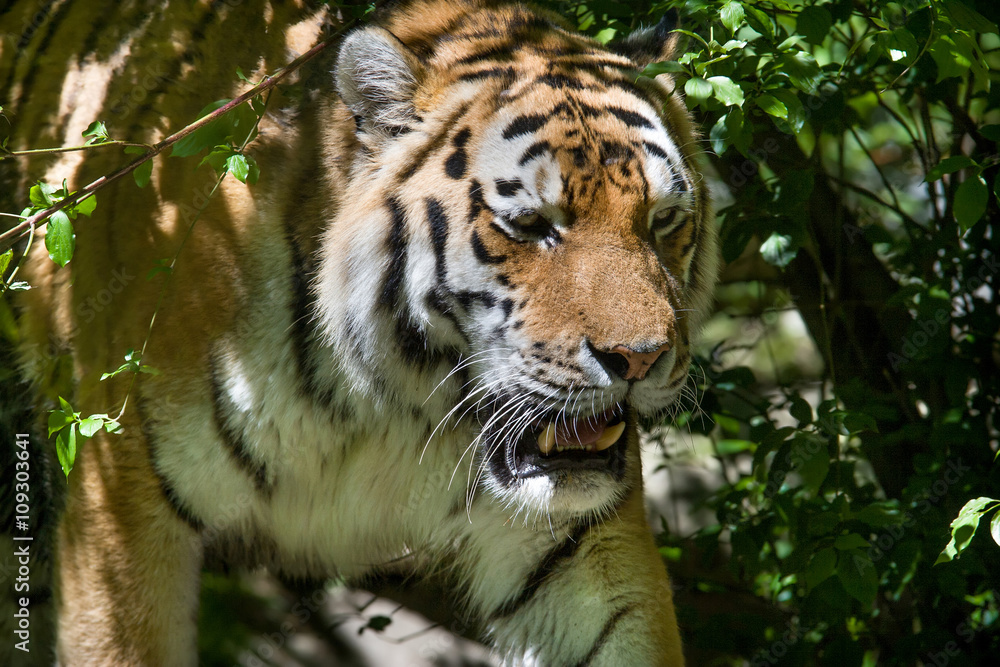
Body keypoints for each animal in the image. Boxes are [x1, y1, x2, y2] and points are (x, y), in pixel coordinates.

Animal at [4, 0, 717, 664]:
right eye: (531, 224)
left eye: (663, 220)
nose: (639, 359)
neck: (391, 403)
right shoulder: (121, 510)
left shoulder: (574, 545)